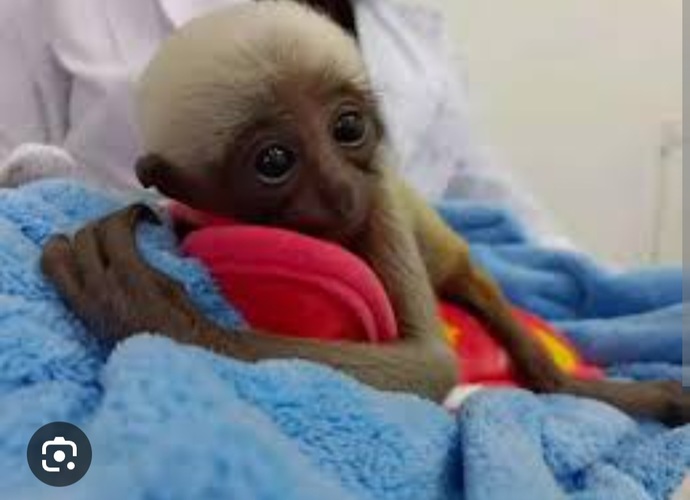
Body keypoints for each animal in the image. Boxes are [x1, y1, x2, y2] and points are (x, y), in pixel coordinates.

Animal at [40, 1, 689, 425]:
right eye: (274, 161)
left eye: (347, 128)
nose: (338, 186)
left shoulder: (380, 202)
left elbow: (430, 364)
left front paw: (147, 307)